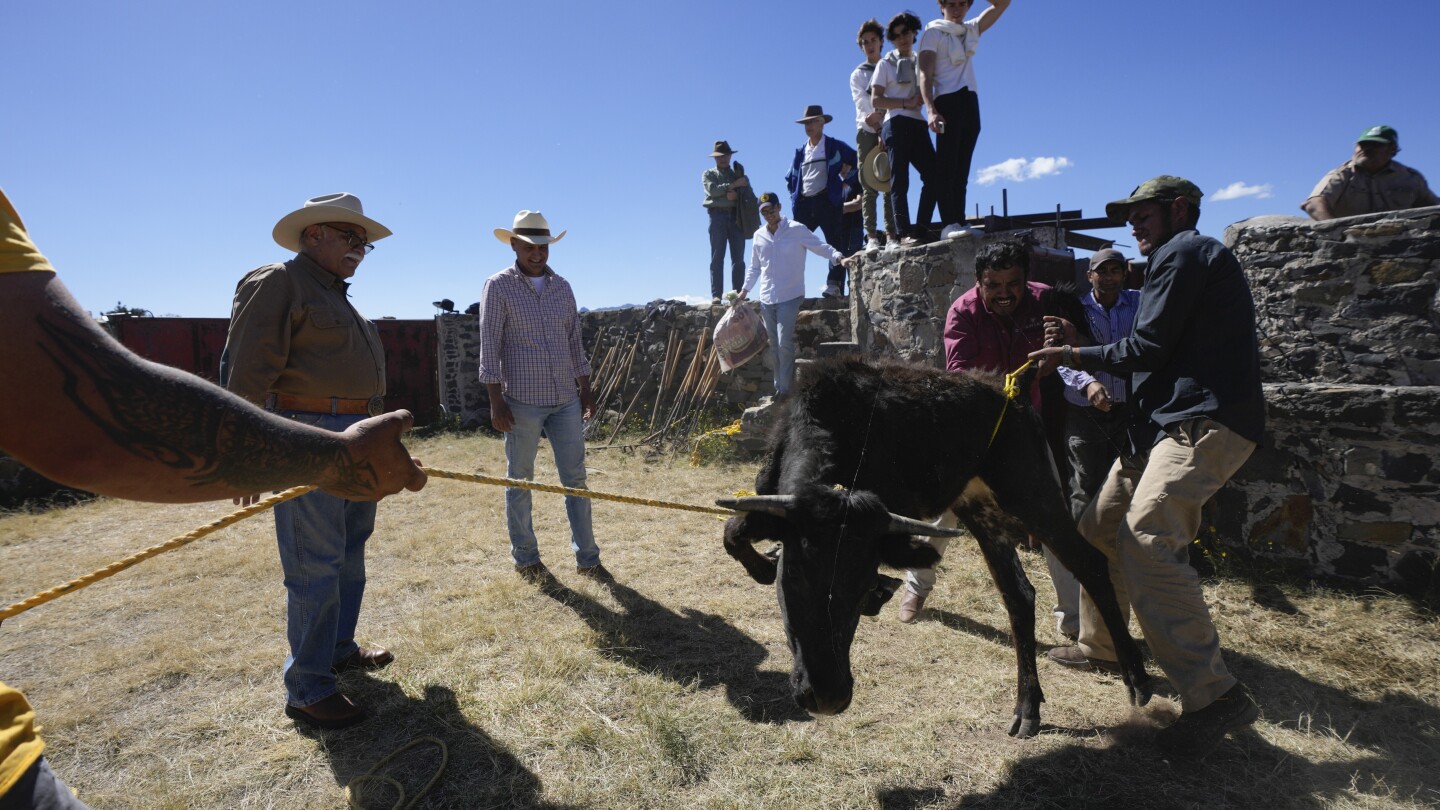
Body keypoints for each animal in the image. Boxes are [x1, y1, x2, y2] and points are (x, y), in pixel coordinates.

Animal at [720, 355, 1157, 735]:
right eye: (792, 577)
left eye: (860, 584)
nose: (826, 697)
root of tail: (1012, 388)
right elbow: (732, 532)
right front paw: (763, 566)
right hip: (979, 509)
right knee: (1019, 595)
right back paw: (1027, 707)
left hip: (1033, 494)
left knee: (1090, 563)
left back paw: (1136, 679)